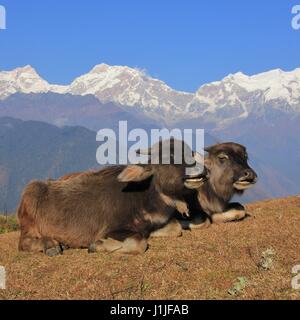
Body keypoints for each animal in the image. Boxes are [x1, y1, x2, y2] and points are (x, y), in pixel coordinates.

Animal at [17, 139, 206, 256]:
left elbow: (175, 228)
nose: (201, 169)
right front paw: (97, 245)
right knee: (23, 243)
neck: (143, 197)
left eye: (190, 152)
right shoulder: (112, 230)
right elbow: (139, 243)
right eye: (169, 156)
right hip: (29, 213)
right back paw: (51, 245)